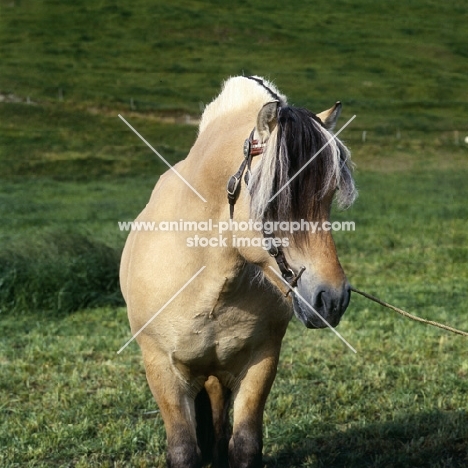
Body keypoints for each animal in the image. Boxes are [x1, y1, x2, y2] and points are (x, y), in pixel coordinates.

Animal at [119, 75, 356, 466]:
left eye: (329, 193)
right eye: (272, 197)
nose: (332, 298)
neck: (208, 279)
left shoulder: (261, 360)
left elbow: (244, 443)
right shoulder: (161, 368)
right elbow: (183, 450)